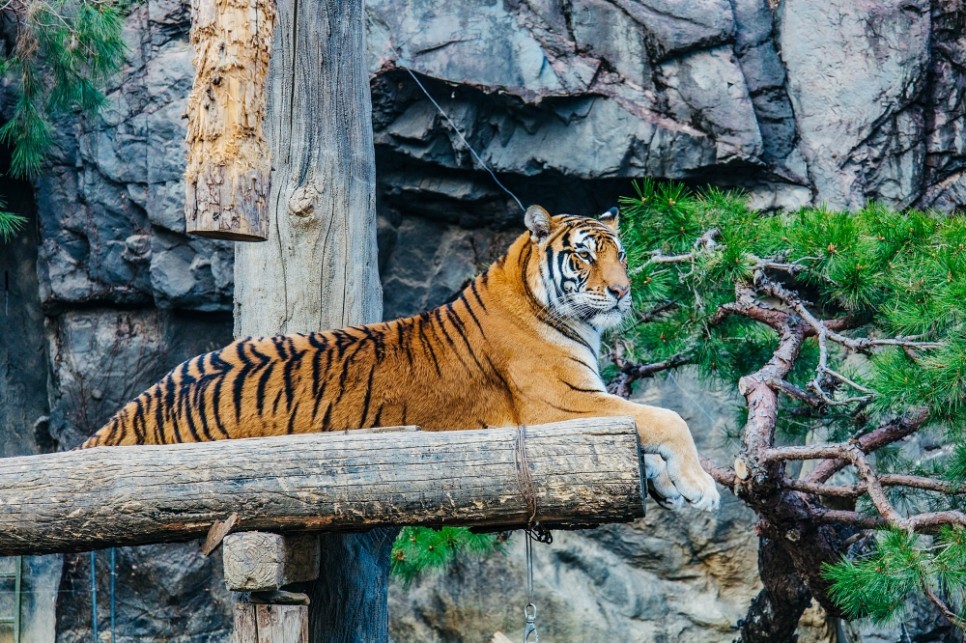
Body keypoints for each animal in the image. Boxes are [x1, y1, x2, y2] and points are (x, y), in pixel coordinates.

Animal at [81, 206, 720, 512]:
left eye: (620, 255)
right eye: (584, 256)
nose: (622, 292)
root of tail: (129, 414)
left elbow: (648, 431)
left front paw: (676, 490)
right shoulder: (561, 405)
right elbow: (667, 419)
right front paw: (703, 488)